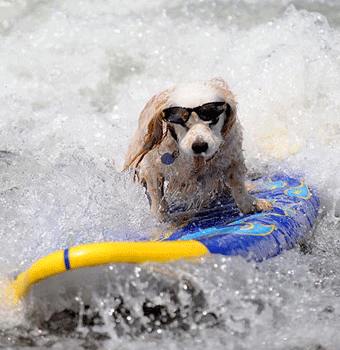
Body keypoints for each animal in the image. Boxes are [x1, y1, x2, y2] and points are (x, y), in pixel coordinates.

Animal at [123, 78, 272, 221]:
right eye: (181, 121)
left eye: (213, 118)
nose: (199, 145)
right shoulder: (151, 168)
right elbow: (157, 199)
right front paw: (163, 220)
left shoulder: (232, 155)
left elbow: (237, 183)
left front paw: (250, 204)